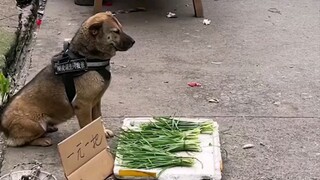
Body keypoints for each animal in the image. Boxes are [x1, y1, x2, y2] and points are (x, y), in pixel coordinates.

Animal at [0, 10, 134, 146]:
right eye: (116, 31)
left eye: (121, 29)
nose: (133, 42)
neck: (88, 57)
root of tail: (3, 127)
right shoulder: (83, 105)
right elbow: (87, 125)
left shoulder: (96, 102)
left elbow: (98, 118)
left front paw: (102, 131)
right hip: (36, 125)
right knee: (19, 142)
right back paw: (42, 140)